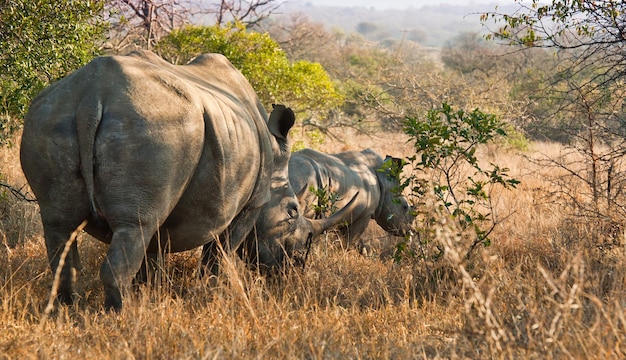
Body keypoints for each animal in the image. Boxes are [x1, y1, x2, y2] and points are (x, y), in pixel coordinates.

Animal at [20, 49, 352, 310]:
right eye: (293, 212)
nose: (297, 265)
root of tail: (93, 96)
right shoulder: (252, 204)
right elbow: (219, 254)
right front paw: (209, 294)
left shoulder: (165, 200)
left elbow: (152, 255)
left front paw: (150, 292)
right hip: (151, 127)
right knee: (133, 226)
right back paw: (121, 316)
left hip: (50, 118)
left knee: (61, 226)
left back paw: (67, 312)